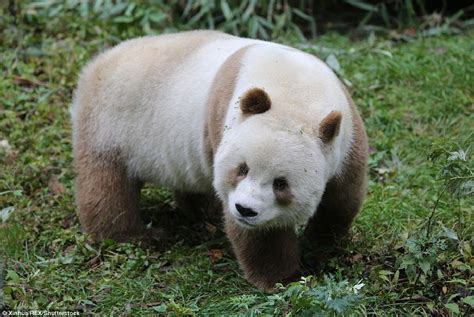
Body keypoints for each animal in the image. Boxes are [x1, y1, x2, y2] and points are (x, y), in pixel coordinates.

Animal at [70, 29, 368, 288]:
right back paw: (131, 236)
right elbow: (260, 235)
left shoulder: (347, 136)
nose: (245, 210)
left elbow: (342, 197)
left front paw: (323, 242)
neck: (295, 90)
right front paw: (283, 278)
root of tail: (97, 63)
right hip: (111, 124)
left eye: (280, 183)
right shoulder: (226, 120)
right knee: (107, 188)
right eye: (242, 169)